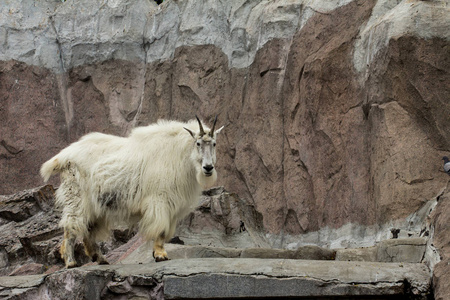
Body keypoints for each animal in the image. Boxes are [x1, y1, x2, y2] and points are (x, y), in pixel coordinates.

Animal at [40, 116, 223, 268]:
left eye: (214, 144)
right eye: (198, 143)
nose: (208, 168)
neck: (180, 153)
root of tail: (62, 157)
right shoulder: (159, 200)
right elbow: (161, 229)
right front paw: (160, 255)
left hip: (94, 204)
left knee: (88, 230)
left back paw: (100, 258)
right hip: (76, 196)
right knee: (71, 226)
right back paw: (71, 262)